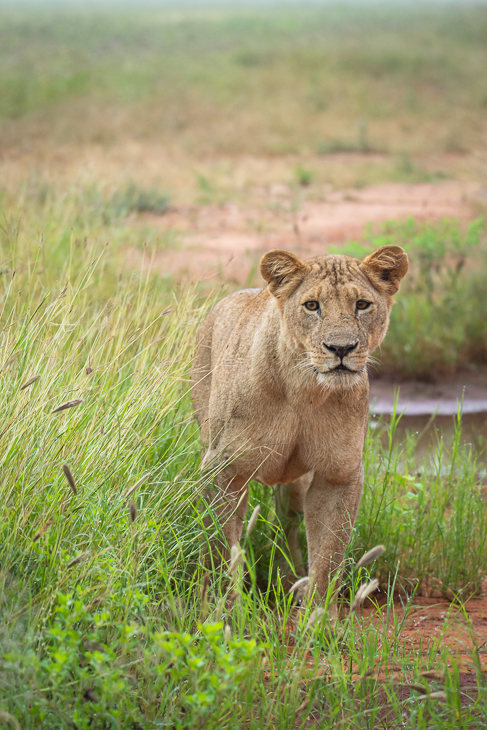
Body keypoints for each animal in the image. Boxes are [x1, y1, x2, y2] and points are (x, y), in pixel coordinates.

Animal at [191, 246, 408, 616]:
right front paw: (226, 610)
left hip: (293, 483)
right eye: (312, 305)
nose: (341, 348)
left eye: (362, 305)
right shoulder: (221, 469)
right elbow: (221, 547)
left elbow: (328, 554)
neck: (305, 388)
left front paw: (320, 618)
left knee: (288, 520)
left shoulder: (339, 474)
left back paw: (289, 575)